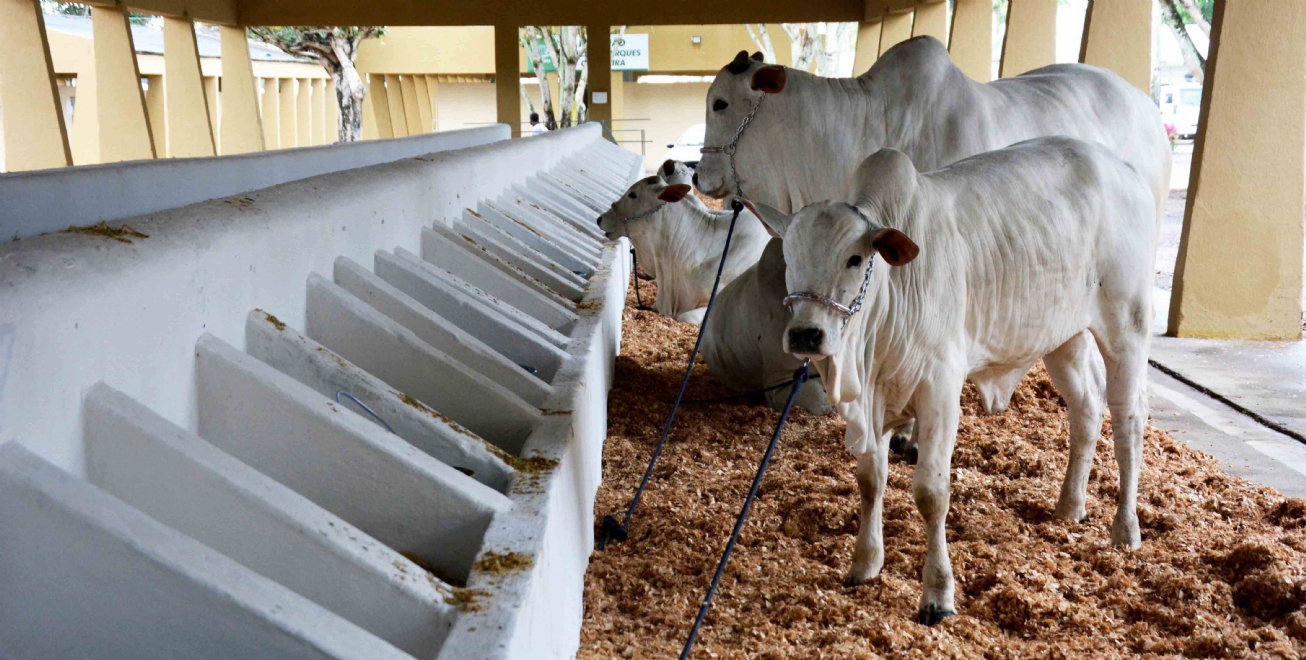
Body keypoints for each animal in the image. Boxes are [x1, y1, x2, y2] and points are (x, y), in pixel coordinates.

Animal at [752, 137, 1159, 622]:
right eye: (789, 258)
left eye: (854, 259)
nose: (806, 334)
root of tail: (1125, 170)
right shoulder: (875, 404)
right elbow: (871, 481)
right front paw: (865, 564)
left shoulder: (940, 392)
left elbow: (931, 492)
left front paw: (938, 595)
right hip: (1064, 337)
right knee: (1087, 408)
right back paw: (1070, 506)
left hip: (1127, 326)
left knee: (1128, 419)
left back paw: (1125, 528)